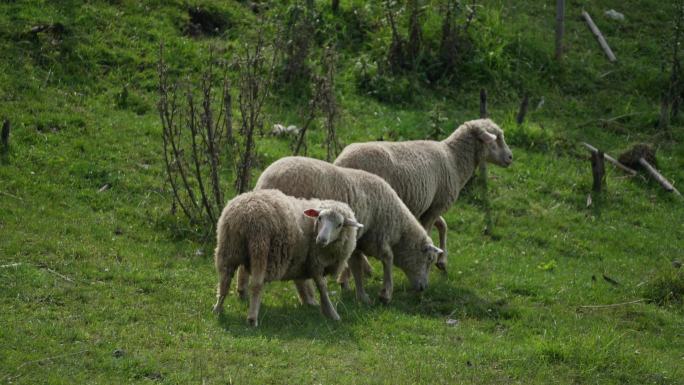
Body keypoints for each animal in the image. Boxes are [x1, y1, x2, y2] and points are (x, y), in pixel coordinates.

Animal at [212, 188, 364, 326]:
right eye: (320, 218)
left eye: (339, 224)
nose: (321, 239)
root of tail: (244, 212)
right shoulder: (315, 262)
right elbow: (322, 287)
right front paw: (332, 313)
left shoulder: (300, 261)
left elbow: (302, 282)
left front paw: (309, 301)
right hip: (260, 247)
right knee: (256, 285)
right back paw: (252, 318)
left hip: (229, 247)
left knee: (224, 281)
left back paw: (218, 309)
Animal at [252, 155, 444, 304]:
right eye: (429, 259)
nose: (423, 288)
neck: (399, 228)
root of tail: (264, 182)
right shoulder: (377, 235)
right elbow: (387, 258)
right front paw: (385, 294)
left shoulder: (356, 238)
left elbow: (355, 264)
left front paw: (360, 294)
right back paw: (309, 299)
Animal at [334, 117, 510, 270]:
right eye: (496, 138)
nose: (510, 157)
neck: (454, 159)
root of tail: (341, 161)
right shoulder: (437, 205)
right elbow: (429, 231)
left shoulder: (430, 206)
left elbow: (443, 225)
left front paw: (442, 261)